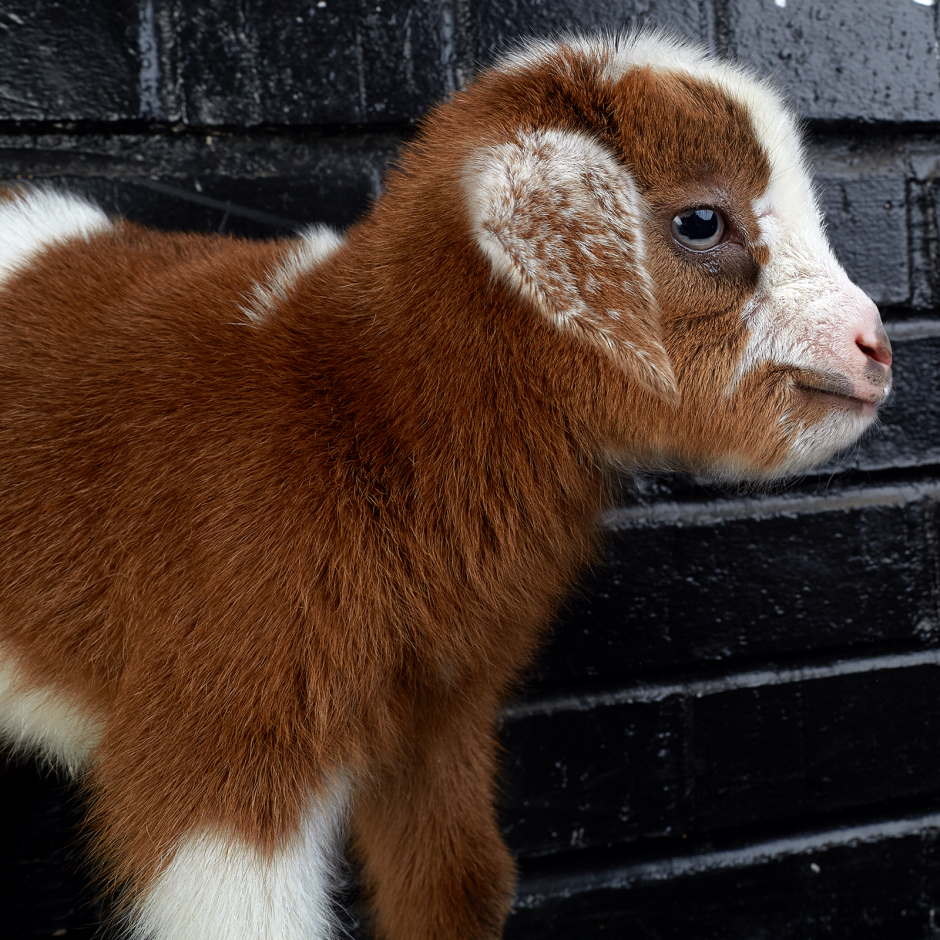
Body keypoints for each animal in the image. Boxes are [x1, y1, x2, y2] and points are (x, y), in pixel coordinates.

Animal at [0, 31, 891, 940]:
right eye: (702, 221)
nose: (876, 345)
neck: (366, 403)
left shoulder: (435, 712)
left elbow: (455, 882)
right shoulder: (224, 717)